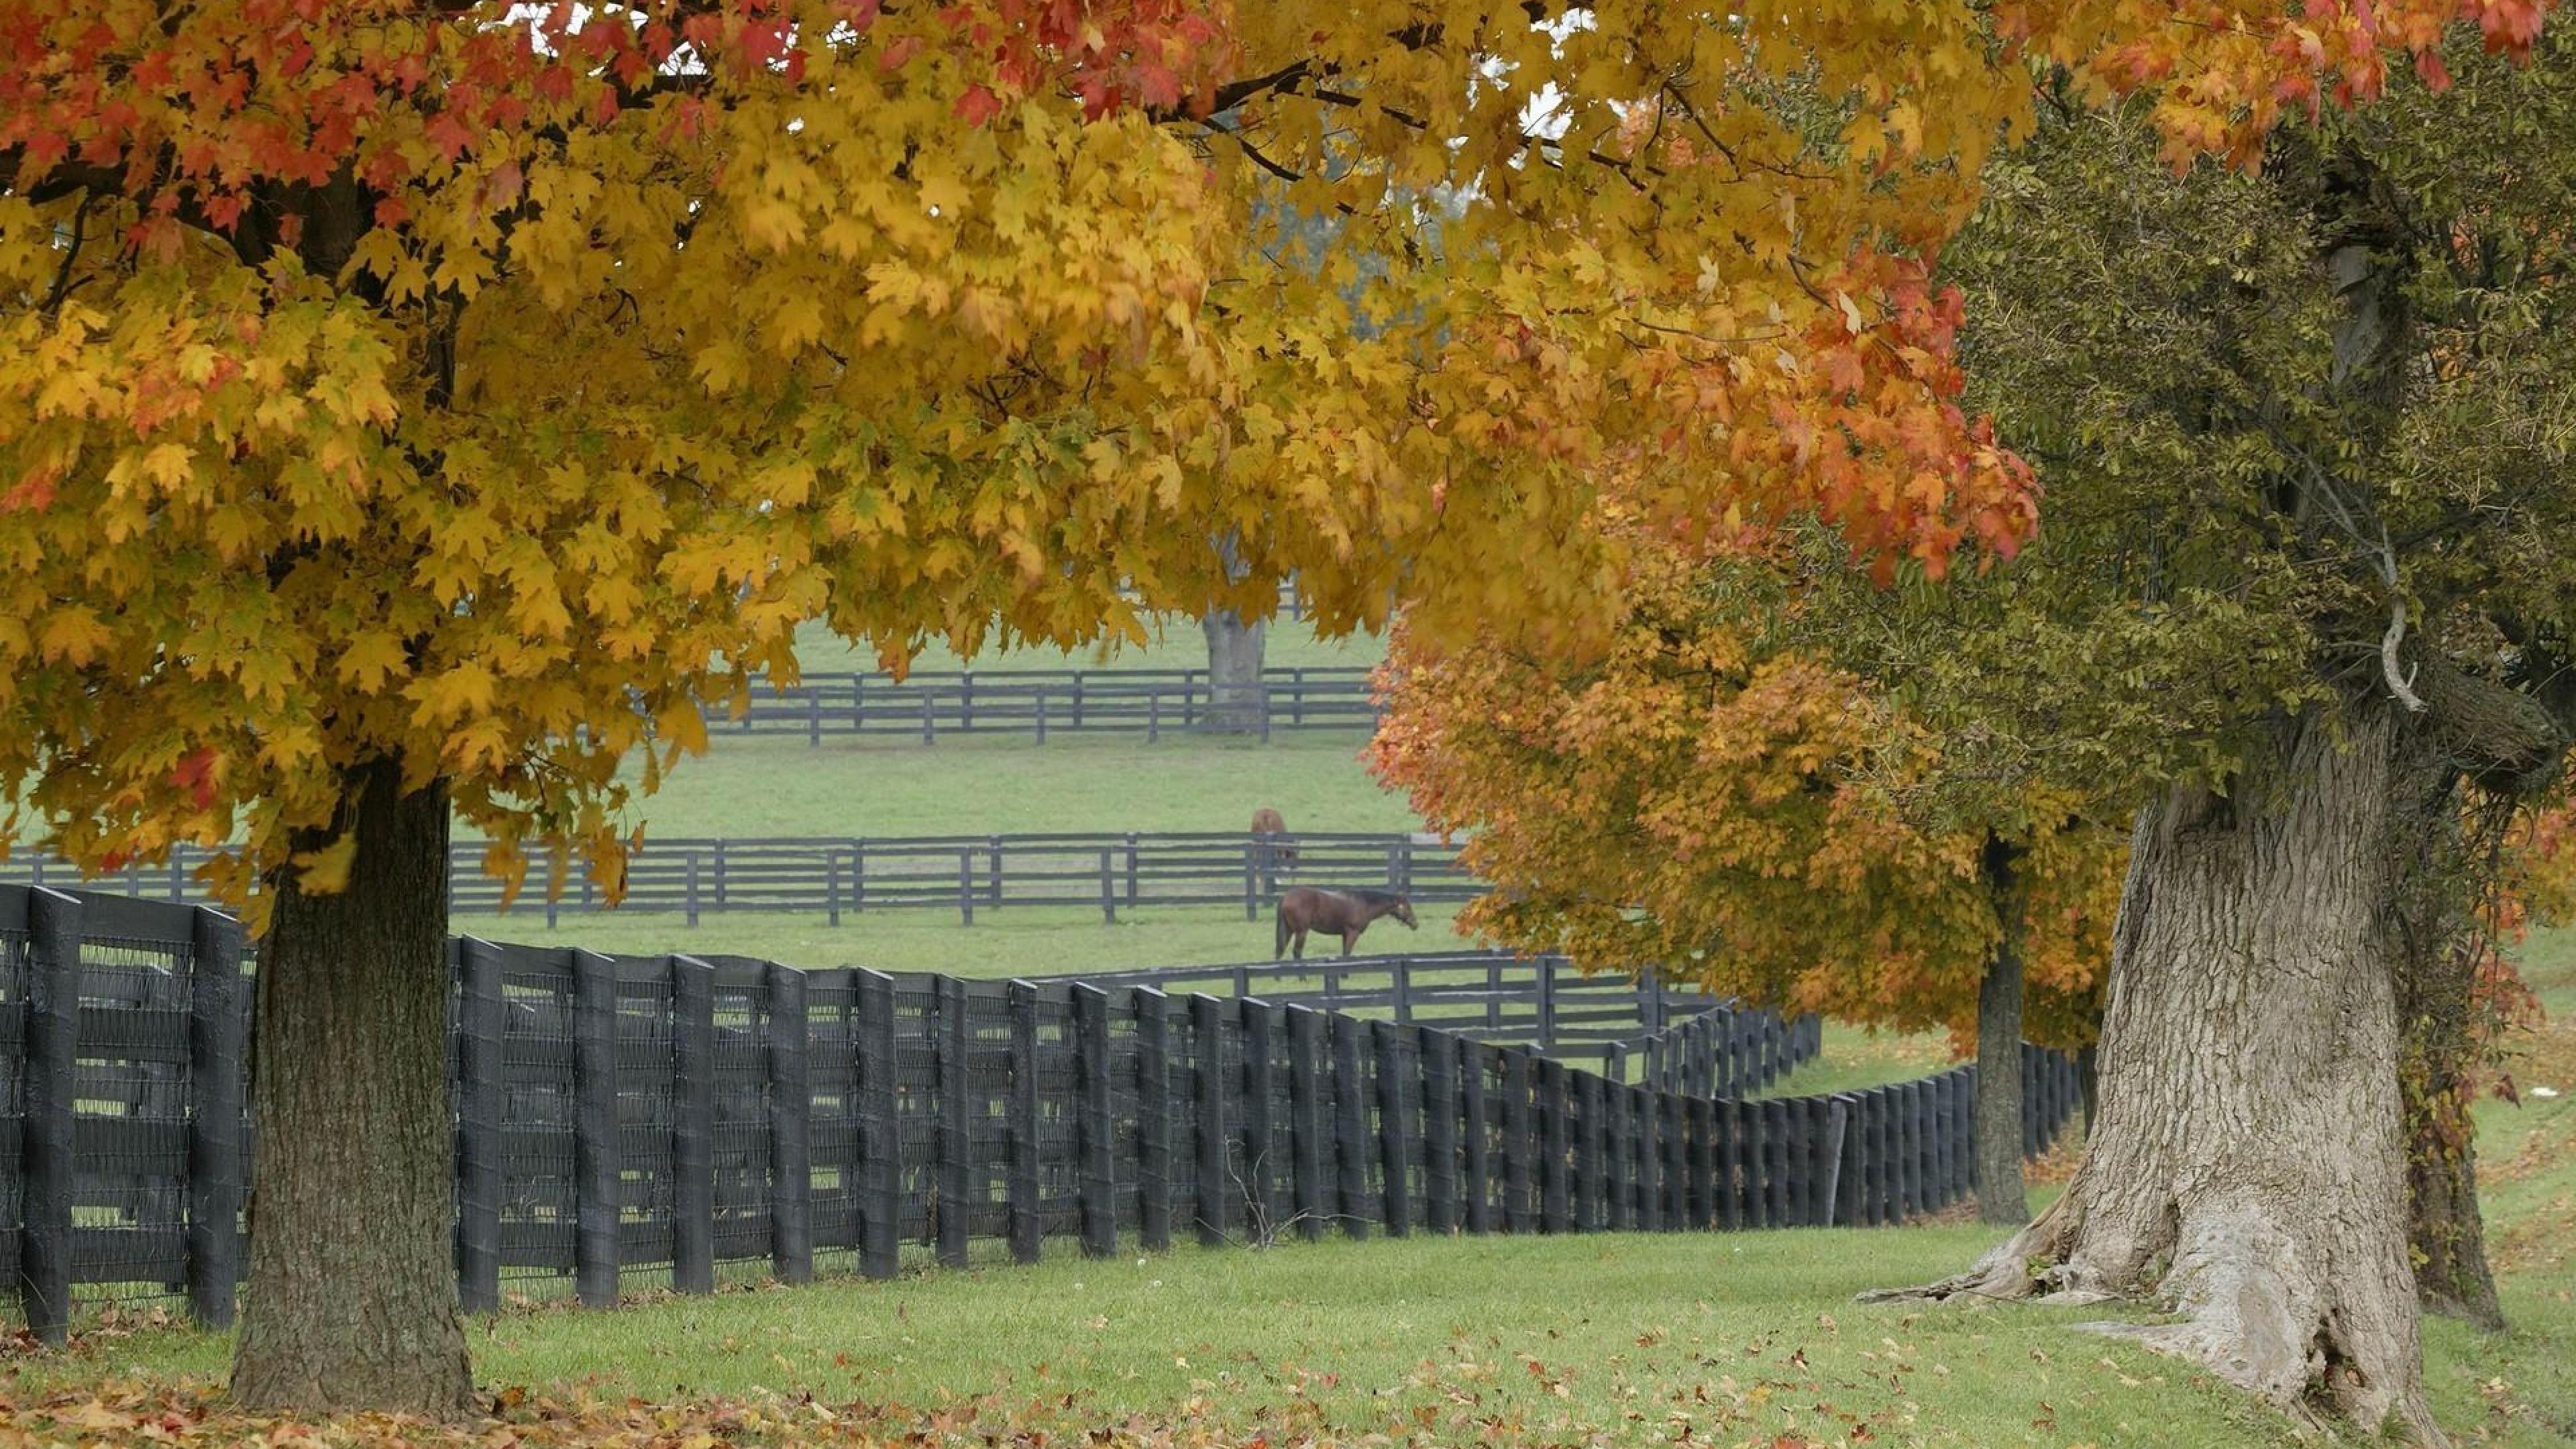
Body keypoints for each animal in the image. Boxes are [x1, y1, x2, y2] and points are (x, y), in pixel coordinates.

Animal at [1277, 881, 1421, 959]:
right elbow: (1347, 954)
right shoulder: (1353, 933)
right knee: (1297, 952)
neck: (1364, 904)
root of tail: (1286, 896)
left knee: (1280, 950)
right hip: (1301, 932)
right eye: (1408, 907)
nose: (1415, 924)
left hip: (1289, 930)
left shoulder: (1345, 935)